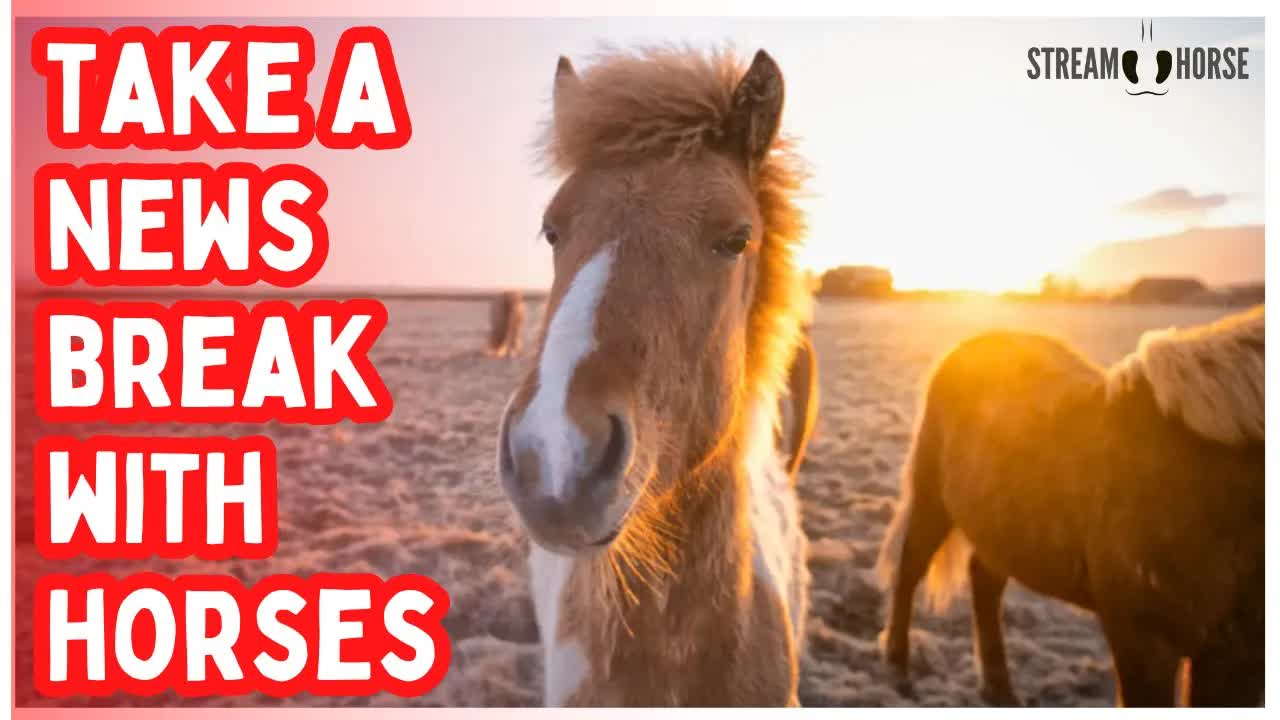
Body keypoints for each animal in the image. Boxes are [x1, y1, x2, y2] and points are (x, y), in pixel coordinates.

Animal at [875, 305, 1264, 707]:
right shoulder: (1142, 642)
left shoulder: (1239, 658)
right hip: (932, 497)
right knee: (910, 568)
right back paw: (898, 668)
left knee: (985, 581)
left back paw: (999, 688)